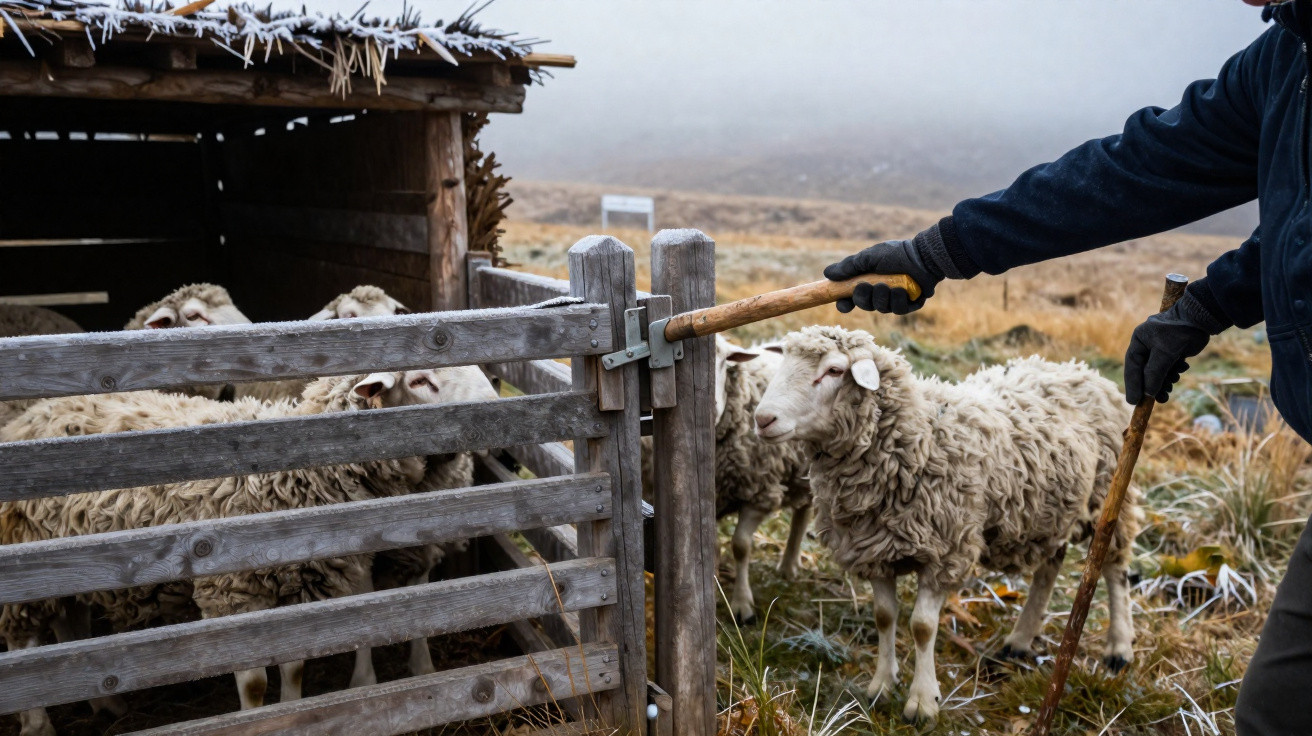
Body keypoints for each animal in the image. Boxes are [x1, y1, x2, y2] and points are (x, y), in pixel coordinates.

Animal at [0, 366, 498, 736]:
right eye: (421, 380)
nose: (499, 407)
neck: (298, 475)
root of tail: (35, 411)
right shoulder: (232, 593)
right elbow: (255, 682)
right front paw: (255, 718)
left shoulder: (300, 589)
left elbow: (295, 668)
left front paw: (292, 714)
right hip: (25, 559)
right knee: (24, 641)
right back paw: (38, 723)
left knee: (70, 625)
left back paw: (106, 704)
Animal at [753, 326, 1139, 723]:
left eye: (832, 370)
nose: (762, 419)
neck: (919, 439)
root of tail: (1083, 370)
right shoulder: (873, 549)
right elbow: (884, 617)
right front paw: (881, 685)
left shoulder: (946, 550)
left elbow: (923, 627)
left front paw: (922, 701)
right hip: (1051, 511)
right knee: (1050, 567)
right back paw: (1019, 642)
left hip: (1109, 497)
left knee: (1115, 569)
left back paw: (1118, 648)